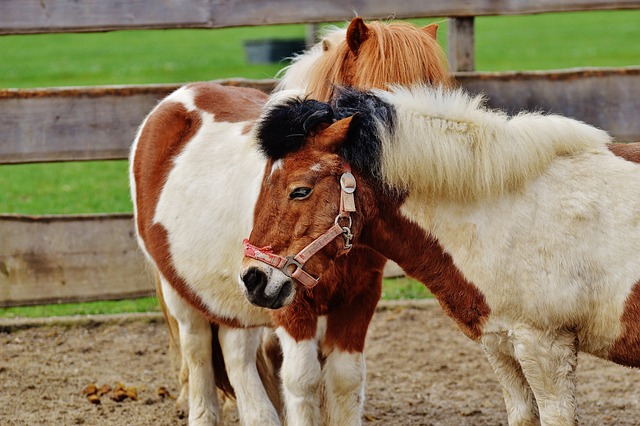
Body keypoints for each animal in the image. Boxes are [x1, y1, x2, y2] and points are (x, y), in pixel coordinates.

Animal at [130, 18, 450, 424]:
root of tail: (177, 100)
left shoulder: (359, 298)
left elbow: (346, 380)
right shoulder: (290, 304)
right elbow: (301, 381)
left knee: (235, 349)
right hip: (185, 292)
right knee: (199, 349)